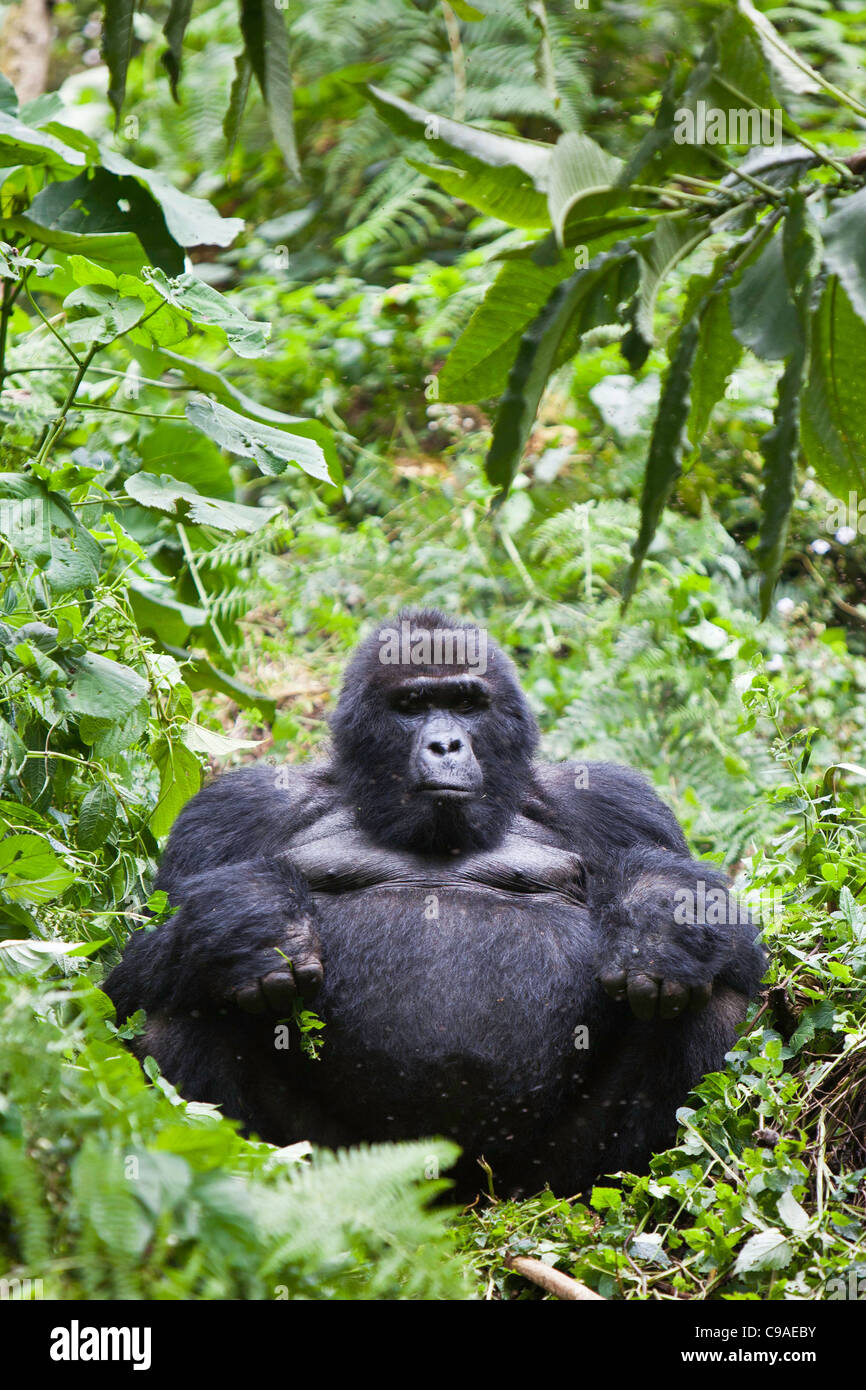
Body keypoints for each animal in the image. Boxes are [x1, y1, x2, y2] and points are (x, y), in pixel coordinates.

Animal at [107, 608, 767, 1195]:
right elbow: (131, 976)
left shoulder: (619, 804)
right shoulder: (234, 809)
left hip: (539, 1176)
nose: (446, 744)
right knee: (181, 1006)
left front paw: (657, 927)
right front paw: (252, 923)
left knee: (710, 1002)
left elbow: (731, 939)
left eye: (468, 704)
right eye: (412, 706)